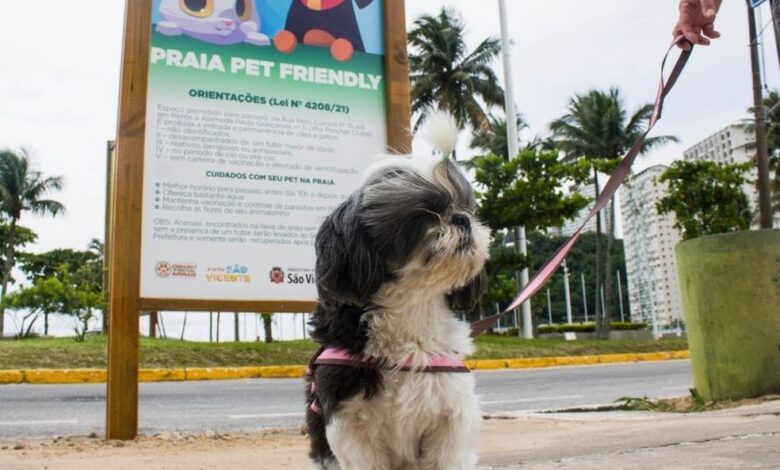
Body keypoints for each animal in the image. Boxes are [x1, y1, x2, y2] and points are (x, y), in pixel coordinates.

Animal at [304, 114, 488, 470]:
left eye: (469, 208)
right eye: (426, 212)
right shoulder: (350, 425)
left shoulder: (450, 417)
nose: (462, 220)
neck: (412, 310)